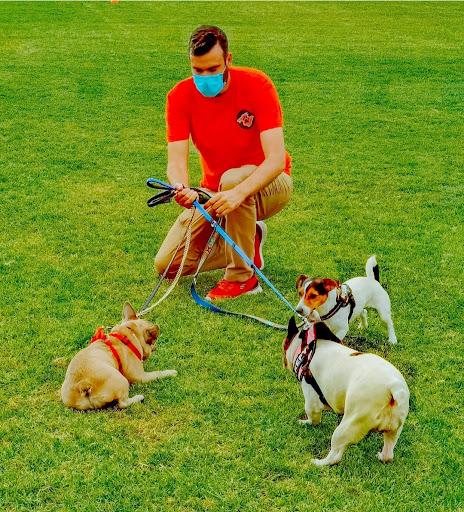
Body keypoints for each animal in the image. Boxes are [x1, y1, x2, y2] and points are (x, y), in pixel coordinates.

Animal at [282, 318, 410, 466]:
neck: (304, 349)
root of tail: (394, 388)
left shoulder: (311, 400)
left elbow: (312, 417)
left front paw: (306, 422)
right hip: (394, 430)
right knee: (388, 453)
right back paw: (381, 456)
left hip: (348, 426)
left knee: (335, 455)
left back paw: (319, 463)